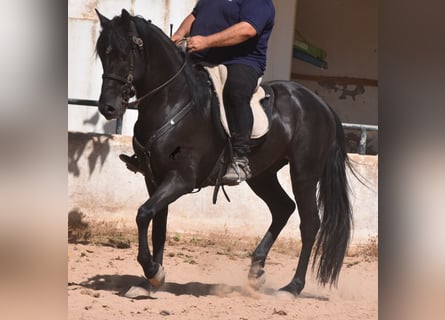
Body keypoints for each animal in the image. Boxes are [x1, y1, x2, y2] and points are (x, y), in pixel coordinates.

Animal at [95, 8, 352, 296]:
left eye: (125, 53)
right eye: (103, 53)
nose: (108, 107)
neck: (173, 103)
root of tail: (321, 104)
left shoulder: (181, 179)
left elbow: (143, 214)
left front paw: (152, 271)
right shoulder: (155, 179)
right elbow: (157, 222)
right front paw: (150, 281)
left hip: (304, 174)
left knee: (310, 223)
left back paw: (292, 287)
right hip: (262, 175)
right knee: (283, 208)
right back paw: (256, 272)